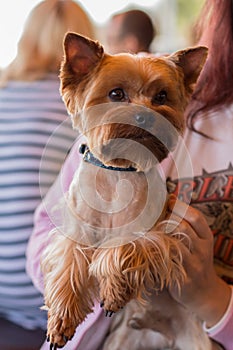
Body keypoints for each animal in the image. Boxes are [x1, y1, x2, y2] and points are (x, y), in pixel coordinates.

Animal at [41, 32, 208, 348]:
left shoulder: (156, 233)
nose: (145, 116)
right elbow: (70, 265)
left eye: (161, 97)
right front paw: (62, 318)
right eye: (116, 94)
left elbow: (119, 250)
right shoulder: (77, 230)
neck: (119, 171)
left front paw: (113, 292)